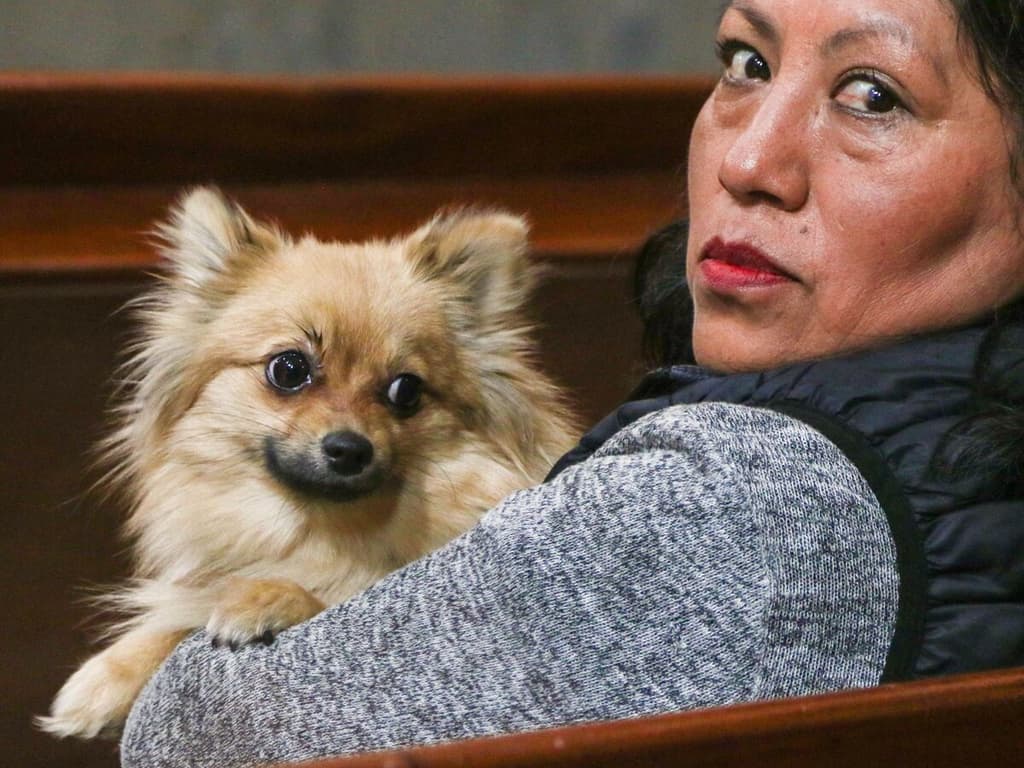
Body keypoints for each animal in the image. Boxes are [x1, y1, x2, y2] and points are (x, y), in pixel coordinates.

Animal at [39, 186, 581, 741]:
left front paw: (268, 597)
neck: (323, 534)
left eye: (406, 391)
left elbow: (318, 598)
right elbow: (174, 617)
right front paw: (106, 676)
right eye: (288, 369)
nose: (350, 448)